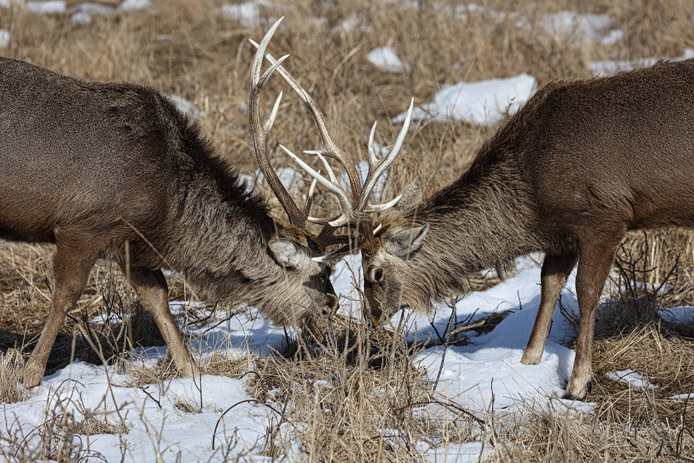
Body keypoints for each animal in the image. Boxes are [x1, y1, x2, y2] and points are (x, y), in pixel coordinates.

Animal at [0, 21, 358, 392]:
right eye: (321, 273)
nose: (333, 305)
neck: (168, 206)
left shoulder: (132, 241)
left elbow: (158, 300)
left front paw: (194, 375)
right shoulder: (83, 225)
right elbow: (65, 297)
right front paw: (30, 375)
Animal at [260, 47, 694, 398]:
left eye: (376, 273)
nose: (373, 316)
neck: (531, 195)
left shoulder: (604, 217)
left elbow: (586, 294)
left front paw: (577, 383)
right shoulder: (560, 234)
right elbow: (549, 286)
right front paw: (528, 363)